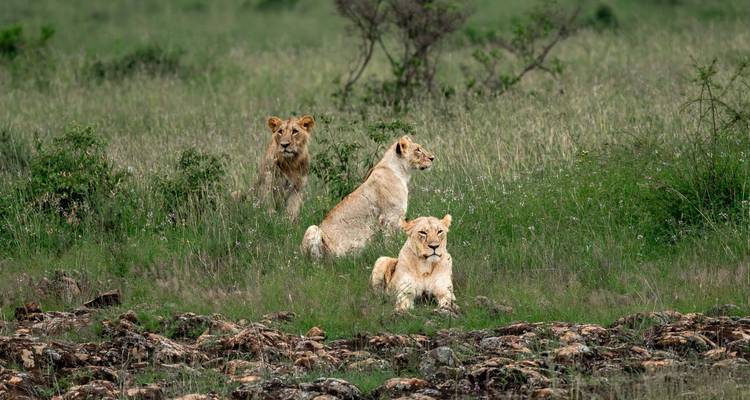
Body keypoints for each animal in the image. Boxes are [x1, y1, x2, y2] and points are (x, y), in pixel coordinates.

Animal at [301, 136, 434, 258]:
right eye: (417, 150)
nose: (432, 158)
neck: (401, 172)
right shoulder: (390, 216)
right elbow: (391, 240)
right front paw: (392, 251)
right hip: (313, 229)